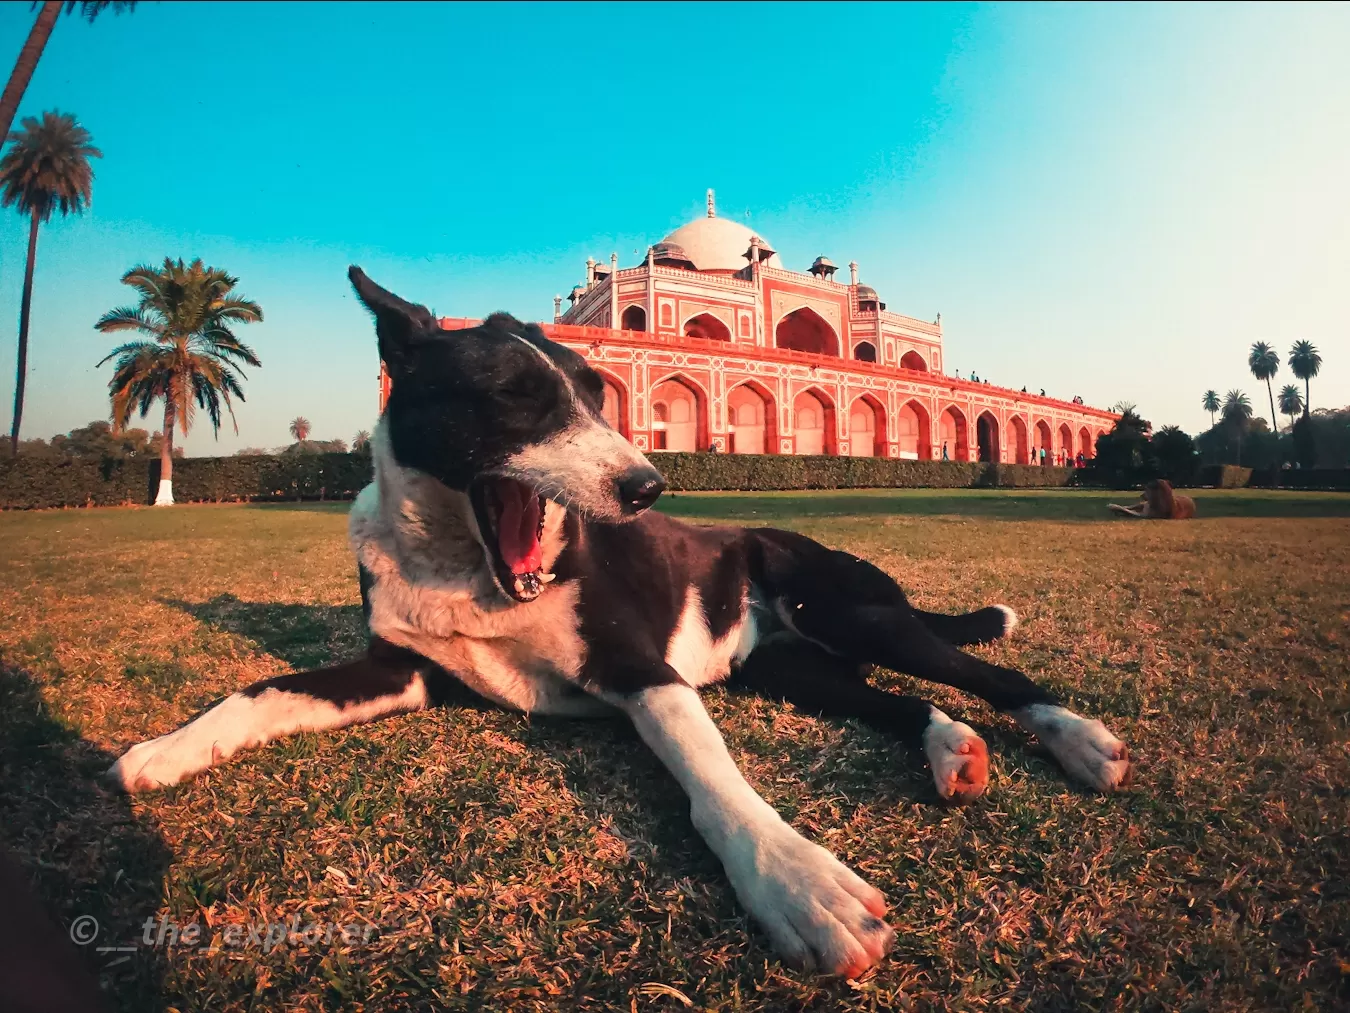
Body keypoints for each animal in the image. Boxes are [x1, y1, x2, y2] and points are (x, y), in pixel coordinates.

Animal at [110, 267, 1134, 977]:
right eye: (517, 395)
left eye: (598, 394)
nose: (648, 486)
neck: (464, 568)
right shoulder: (401, 669)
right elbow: (262, 689)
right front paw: (162, 751)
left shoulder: (646, 671)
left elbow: (715, 784)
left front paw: (798, 884)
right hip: (792, 665)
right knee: (899, 702)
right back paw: (951, 748)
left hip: (850, 609)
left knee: (990, 674)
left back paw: (1078, 739)